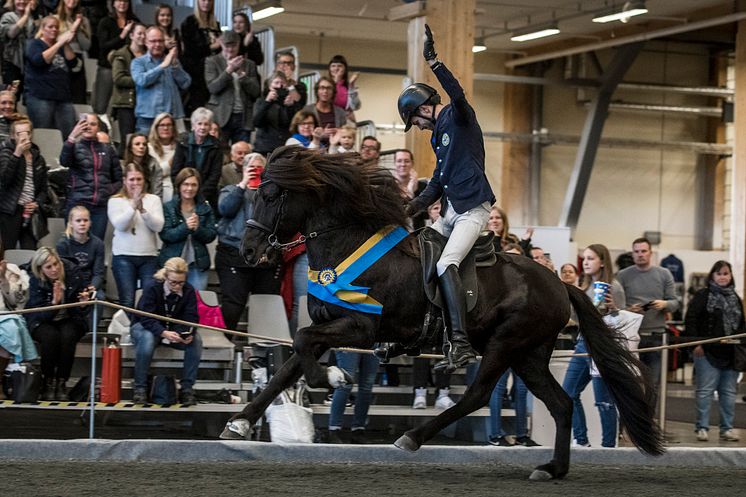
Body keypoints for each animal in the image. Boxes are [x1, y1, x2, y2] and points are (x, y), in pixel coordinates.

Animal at [219, 145, 664, 478]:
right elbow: (288, 364)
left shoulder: (361, 326)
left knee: (478, 394)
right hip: (530, 355)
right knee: (561, 404)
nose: (248, 251)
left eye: (271, 196)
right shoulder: (330, 322)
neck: (345, 243)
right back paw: (553, 468)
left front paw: (333, 378)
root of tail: (560, 283)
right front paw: (240, 421)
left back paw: (413, 437)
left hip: (506, 343)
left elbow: (301, 343)